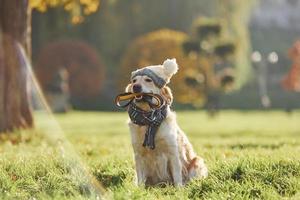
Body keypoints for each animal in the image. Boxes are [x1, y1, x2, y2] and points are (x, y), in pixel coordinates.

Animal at [123, 58, 206, 187]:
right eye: (134, 81)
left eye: (148, 80)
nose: (136, 86)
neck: (149, 120)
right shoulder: (138, 154)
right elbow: (140, 179)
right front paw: (139, 189)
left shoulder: (173, 153)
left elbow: (177, 176)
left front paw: (179, 189)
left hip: (197, 161)